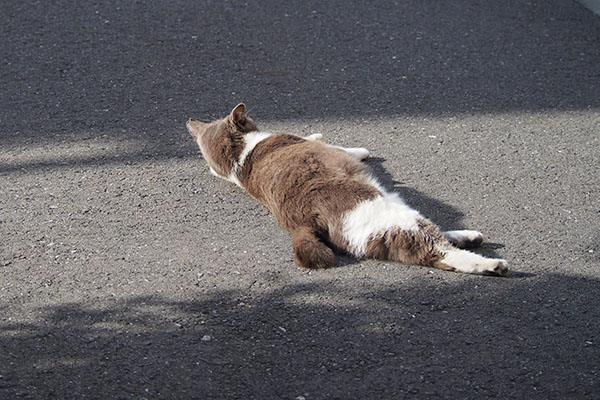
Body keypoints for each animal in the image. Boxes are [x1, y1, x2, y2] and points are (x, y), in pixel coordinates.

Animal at [186, 104, 506, 276]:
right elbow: (337, 145)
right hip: (387, 215)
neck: (240, 159)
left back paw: (468, 237)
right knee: (434, 248)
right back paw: (491, 263)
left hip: (374, 234)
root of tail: (304, 225)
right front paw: (358, 149)